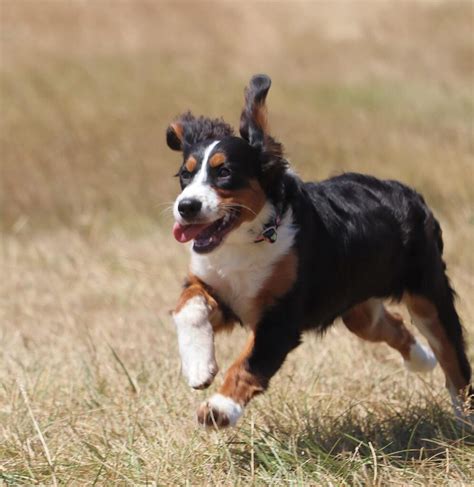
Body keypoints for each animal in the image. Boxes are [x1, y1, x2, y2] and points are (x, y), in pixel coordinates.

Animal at [166, 74, 470, 428]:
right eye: (185, 174)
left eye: (224, 172)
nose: (186, 207)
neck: (250, 238)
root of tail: (410, 193)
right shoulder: (222, 292)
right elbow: (188, 307)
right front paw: (198, 366)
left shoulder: (281, 316)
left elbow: (249, 363)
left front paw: (219, 408)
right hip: (358, 309)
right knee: (392, 326)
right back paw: (422, 359)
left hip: (429, 295)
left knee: (454, 360)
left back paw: (463, 419)